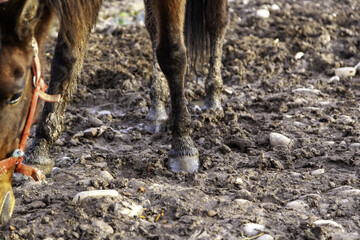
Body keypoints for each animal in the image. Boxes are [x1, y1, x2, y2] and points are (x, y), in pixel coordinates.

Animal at [0, 0, 228, 225]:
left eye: (16, 95)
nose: (3, 204)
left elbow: (172, 53)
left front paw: (183, 144)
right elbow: (66, 57)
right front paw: (42, 147)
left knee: (217, 21)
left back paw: (213, 98)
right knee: (154, 28)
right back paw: (157, 110)